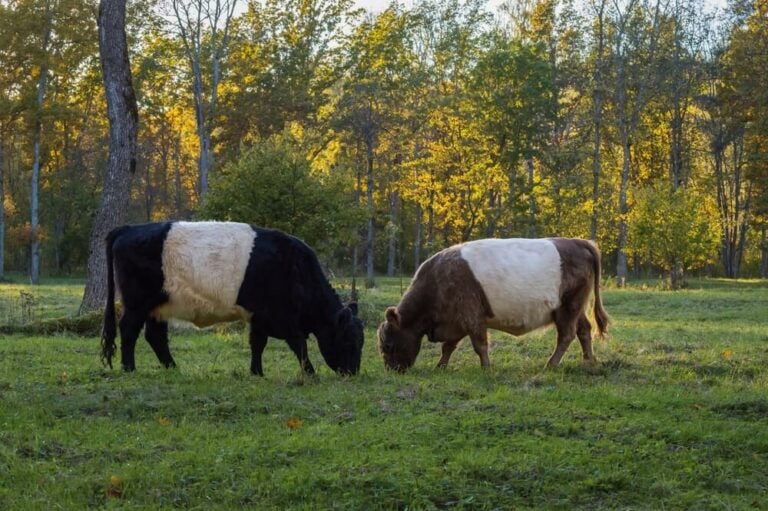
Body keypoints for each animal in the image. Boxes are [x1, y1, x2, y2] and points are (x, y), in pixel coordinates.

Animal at [101, 221, 364, 376]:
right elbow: (298, 344)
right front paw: (310, 372)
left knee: (155, 336)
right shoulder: (283, 318)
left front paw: (257, 372)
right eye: (349, 341)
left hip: (160, 305)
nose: (352, 372)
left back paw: (173, 369)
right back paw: (129, 368)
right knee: (129, 330)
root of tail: (128, 228)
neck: (296, 270)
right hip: (137, 303)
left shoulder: (259, 316)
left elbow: (257, 343)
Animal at [377, 238, 610, 371]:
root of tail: (579, 242)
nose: (392, 369)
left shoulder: (471, 317)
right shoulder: (457, 322)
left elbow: (479, 344)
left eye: (387, 345)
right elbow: (448, 346)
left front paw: (486, 367)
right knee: (584, 329)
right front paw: (440, 366)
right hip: (575, 307)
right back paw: (589, 361)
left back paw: (551, 364)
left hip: (568, 307)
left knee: (567, 335)